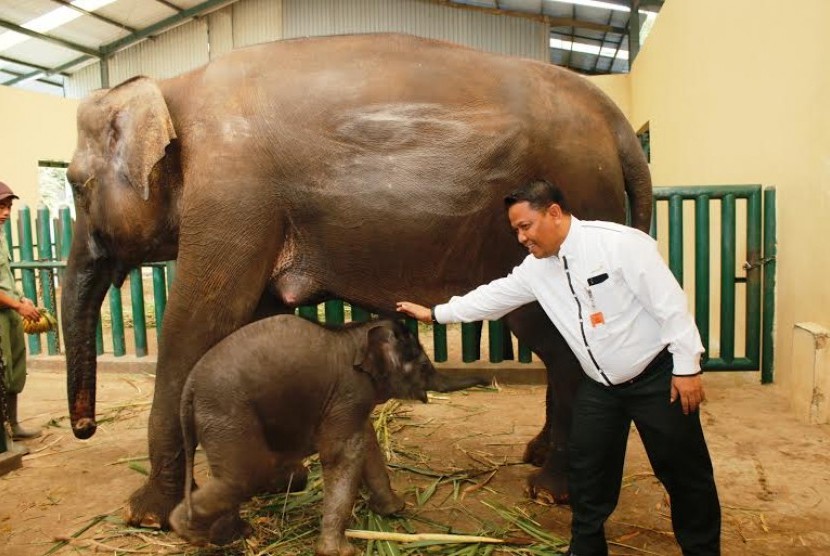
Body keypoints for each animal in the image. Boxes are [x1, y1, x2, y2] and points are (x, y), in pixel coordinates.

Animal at [61, 32, 652, 528]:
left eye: (75, 185)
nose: (85, 428)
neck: (173, 87)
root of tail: (617, 119)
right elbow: (257, 321)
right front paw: (282, 481)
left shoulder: (231, 195)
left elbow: (199, 324)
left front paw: (145, 515)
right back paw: (540, 458)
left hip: (568, 205)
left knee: (559, 346)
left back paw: (550, 490)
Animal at [171, 314, 490, 552]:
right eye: (423, 365)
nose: (489, 380)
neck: (355, 334)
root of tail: (189, 387)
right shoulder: (349, 392)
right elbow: (343, 454)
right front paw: (341, 551)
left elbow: (368, 442)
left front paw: (395, 510)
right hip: (229, 415)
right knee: (243, 476)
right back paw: (188, 531)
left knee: (231, 478)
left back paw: (229, 535)